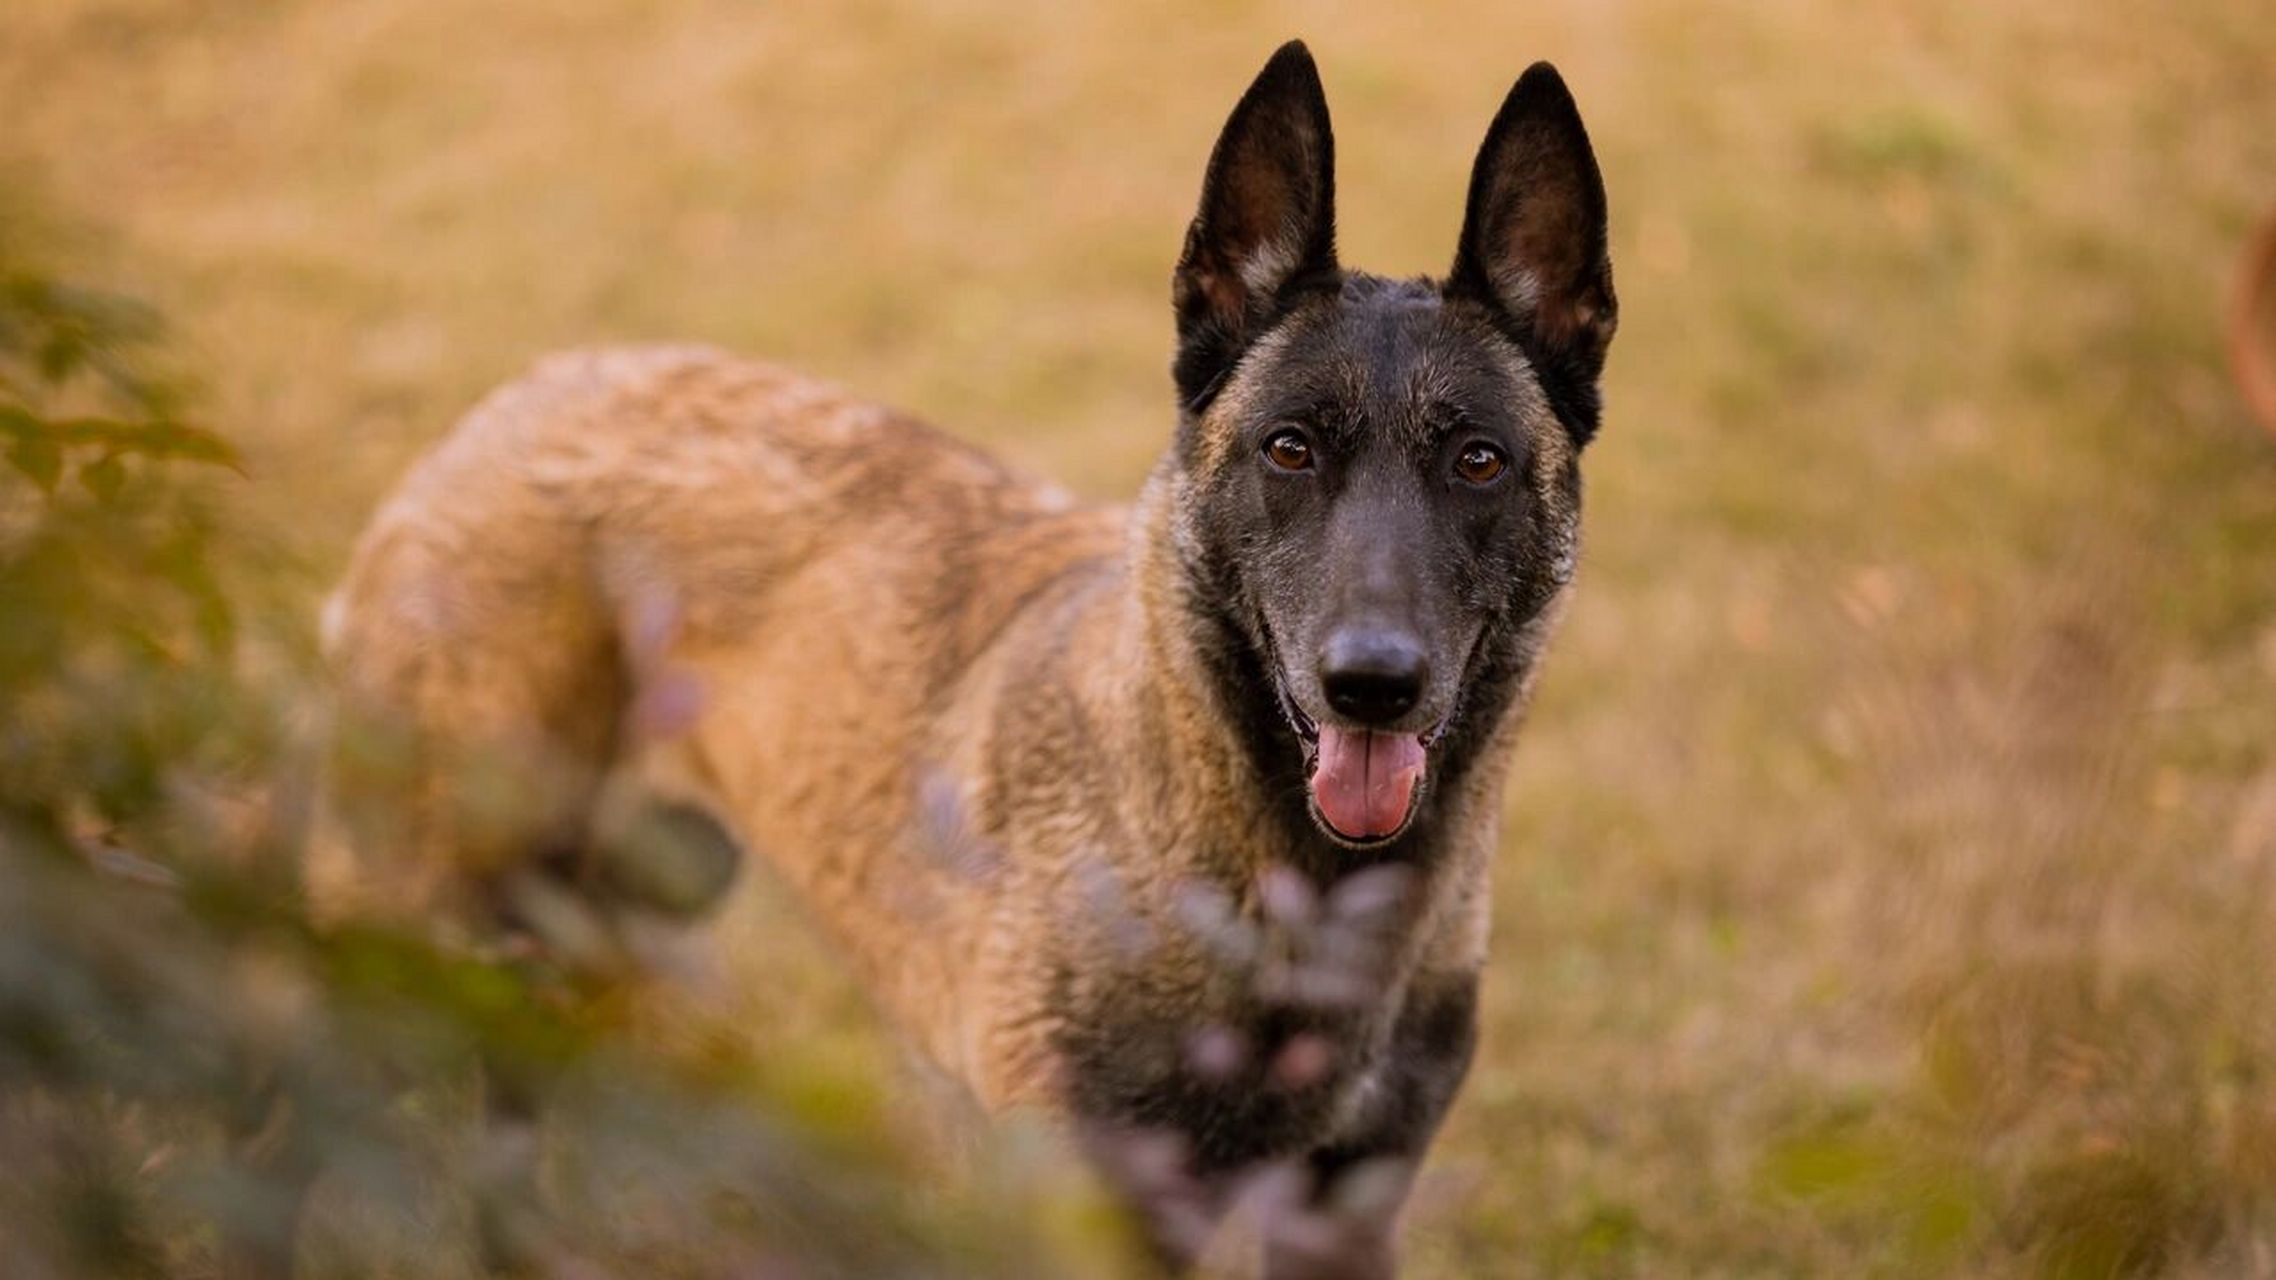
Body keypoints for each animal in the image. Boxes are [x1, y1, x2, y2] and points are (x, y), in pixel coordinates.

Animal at [321, 40, 1615, 1276]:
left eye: (1478, 461)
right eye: (1287, 448)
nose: (1371, 683)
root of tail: (512, 397)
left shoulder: (1341, 1209)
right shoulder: (1097, 1214)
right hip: (404, 911)